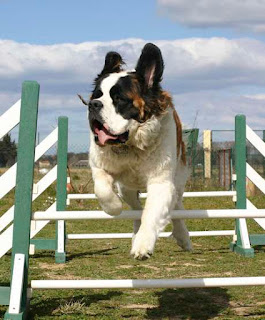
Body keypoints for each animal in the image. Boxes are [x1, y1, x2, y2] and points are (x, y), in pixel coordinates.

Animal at [79, 42, 191, 260]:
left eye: (119, 99)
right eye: (96, 95)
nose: (93, 105)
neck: (130, 146)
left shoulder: (161, 183)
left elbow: (152, 213)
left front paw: (143, 245)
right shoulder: (99, 166)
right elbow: (102, 189)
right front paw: (113, 207)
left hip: (178, 179)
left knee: (176, 206)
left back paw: (183, 237)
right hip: (127, 188)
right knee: (136, 208)